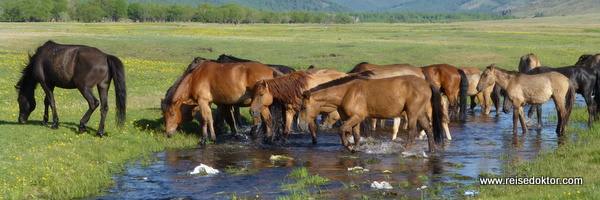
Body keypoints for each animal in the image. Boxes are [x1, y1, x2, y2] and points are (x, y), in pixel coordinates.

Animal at [300, 73, 446, 153]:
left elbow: (341, 130)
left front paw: (350, 148)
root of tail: (427, 83)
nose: (301, 126)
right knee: (428, 129)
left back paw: (405, 151)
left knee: (412, 132)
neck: (347, 92)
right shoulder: (354, 119)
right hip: (420, 113)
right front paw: (356, 149)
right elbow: (356, 136)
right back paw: (431, 150)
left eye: (304, 108)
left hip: (412, 114)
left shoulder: (356, 117)